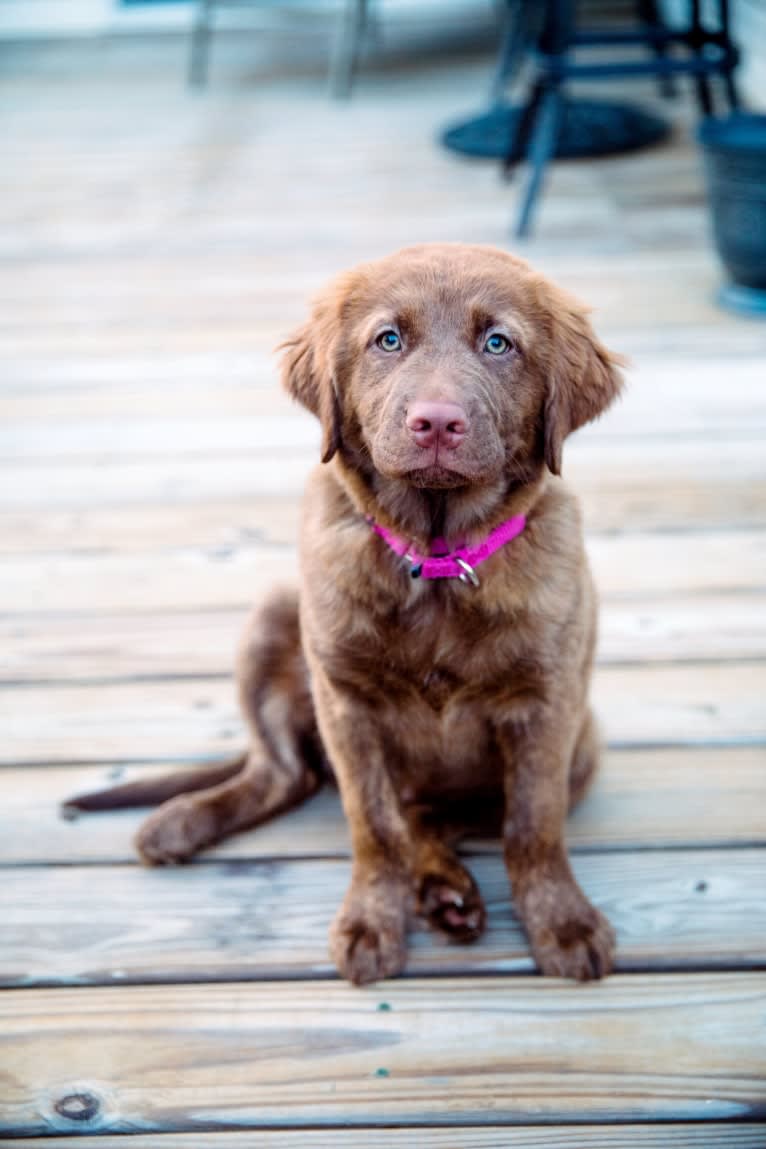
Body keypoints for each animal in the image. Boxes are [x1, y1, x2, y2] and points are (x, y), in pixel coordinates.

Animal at [67, 244, 624, 988]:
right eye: (387, 340)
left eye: (498, 343)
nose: (436, 422)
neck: (436, 562)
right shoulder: (346, 704)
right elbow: (373, 824)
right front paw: (369, 924)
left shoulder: (547, 704)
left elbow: (532, 824)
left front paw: (561, 921)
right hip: (273, 618)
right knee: (287, 775)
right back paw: (182, 821)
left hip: (583, 745)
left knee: (432, 817)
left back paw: (447, 892)